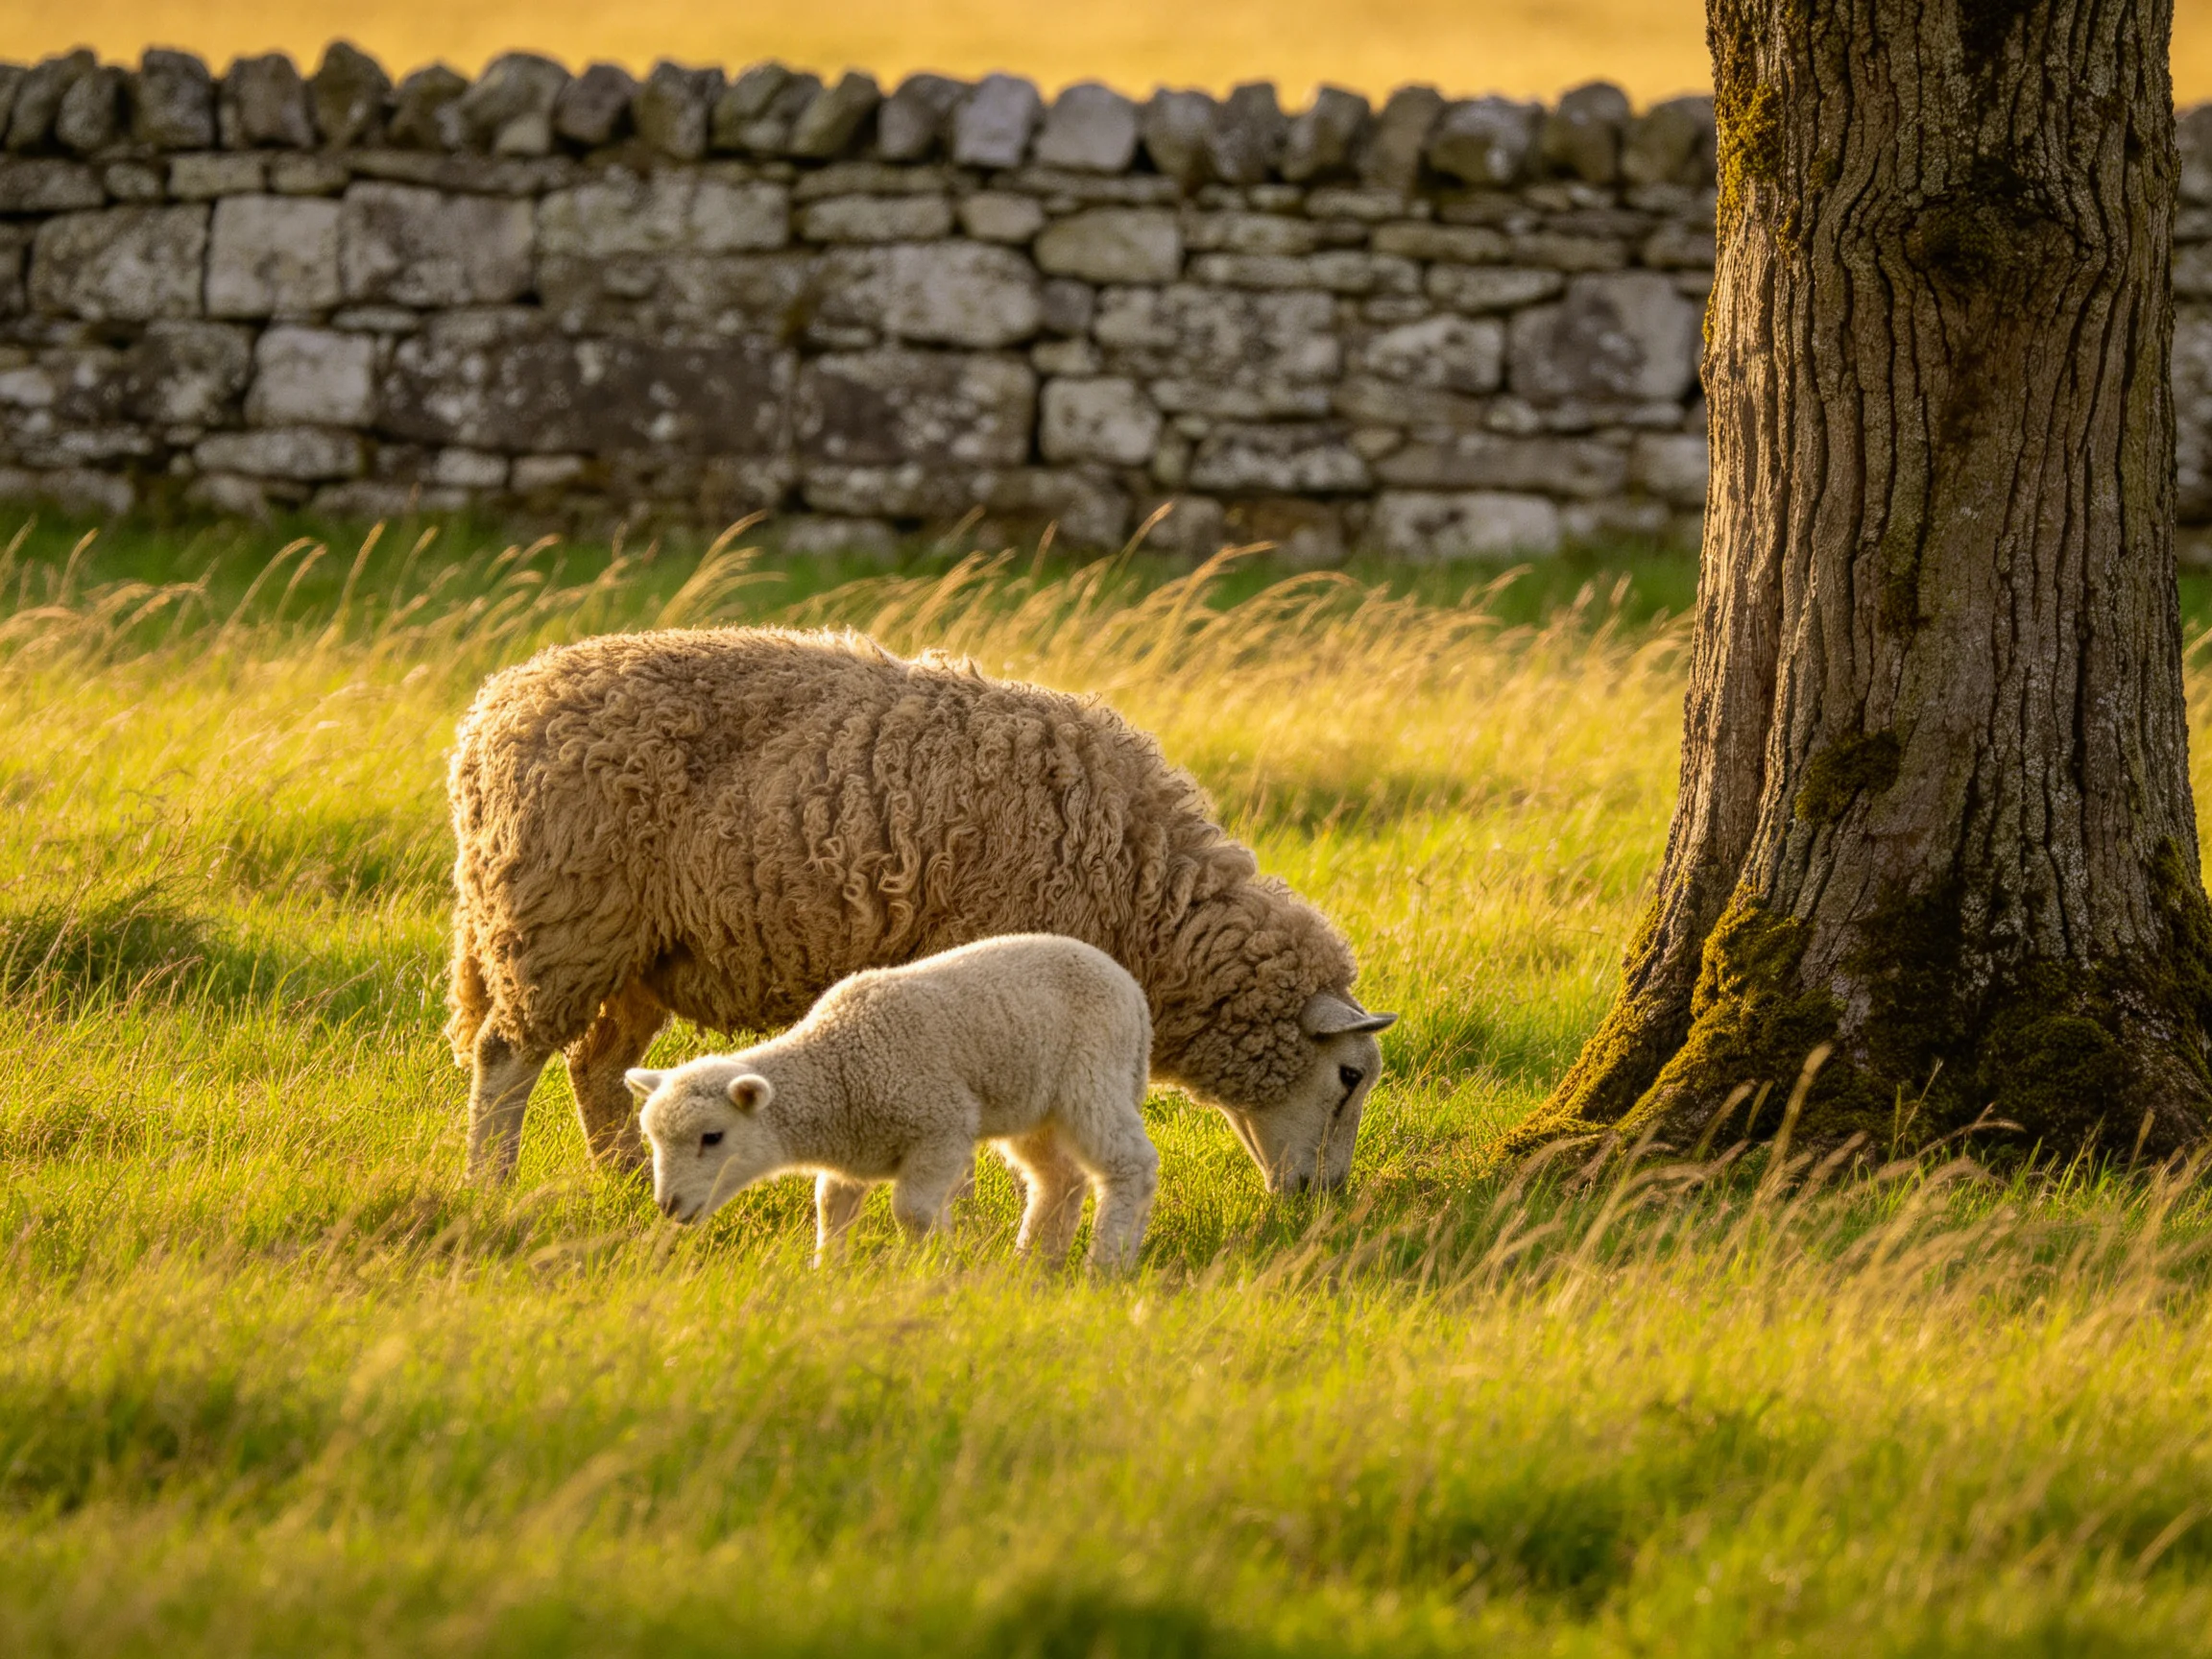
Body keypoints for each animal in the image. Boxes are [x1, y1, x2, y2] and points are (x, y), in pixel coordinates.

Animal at [446, 625, 1396, 1193]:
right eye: (1350, 1077)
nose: (1321, 1198)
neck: (1141, 895)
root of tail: (497, 704)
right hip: (557, 921)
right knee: (506, 1058)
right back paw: (491, 1183)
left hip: (640, 953)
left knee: (596, 1066)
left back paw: (620, 1178)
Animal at [627, 933, 1159, 1270]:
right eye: (653, 1142)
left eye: (712, 1137)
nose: (669, 1206)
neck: (836, 1068)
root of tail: (1133, 993)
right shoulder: (853, 1151)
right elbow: (831, 1206)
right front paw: (828, 1273)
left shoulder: (942, 1126)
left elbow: (912, 1211)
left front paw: (936, 1269)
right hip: (1033, 1105)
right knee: (1058, 1178)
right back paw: (1033, 1264)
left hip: (1094, 1073)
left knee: (1130, 1165)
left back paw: (1107, 1263)